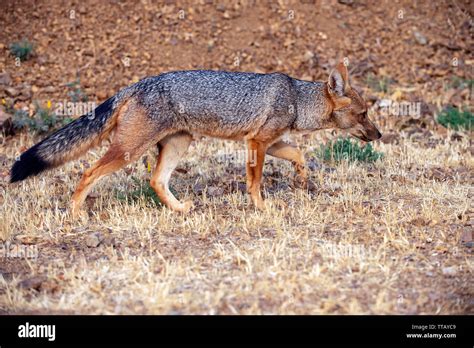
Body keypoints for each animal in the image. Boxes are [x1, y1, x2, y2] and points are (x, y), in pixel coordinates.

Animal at [10, 61, 382, 216]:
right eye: (363, 115)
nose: (379, 135)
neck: (296, 98)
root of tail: (136, 84)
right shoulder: (257, 143)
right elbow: (255, 181)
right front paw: (261, 206)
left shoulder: (271, 141)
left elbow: (300, 155)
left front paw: (303, 180)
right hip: (129, 150)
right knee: (87, 172)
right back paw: (76, 213)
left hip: (178, 144)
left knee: (156, 180)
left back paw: (179, 209)